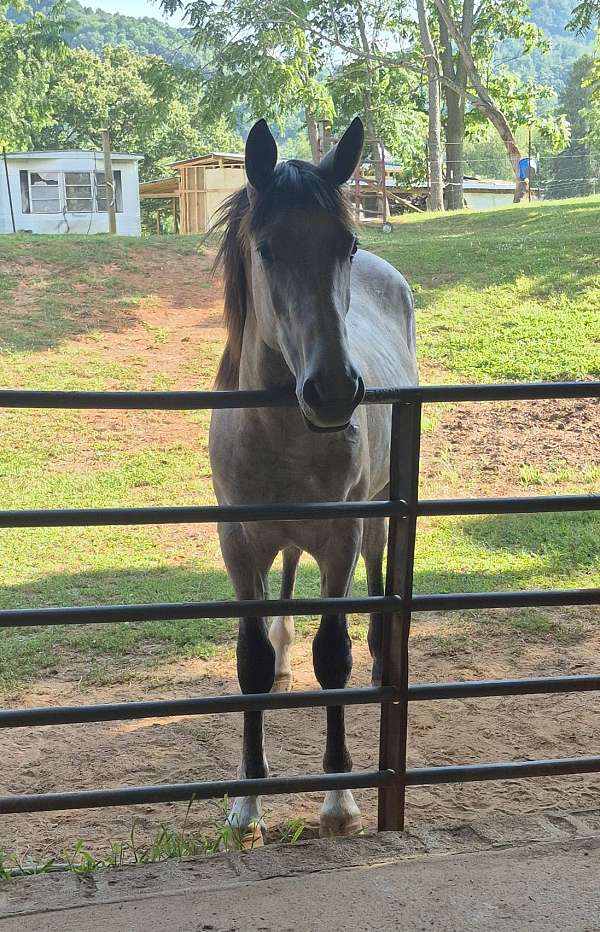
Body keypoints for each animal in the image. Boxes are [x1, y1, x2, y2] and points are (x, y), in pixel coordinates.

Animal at [209, 117, 418, 843]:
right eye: (267, 247)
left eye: (345, 244)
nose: (332, 391)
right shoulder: (239, 544)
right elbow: (250, 661)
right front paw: (246, 804)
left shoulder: (339, 538)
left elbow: (334, 656)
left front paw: (339, 800)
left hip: (377, 507)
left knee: (381, 565)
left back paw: (384, 653)